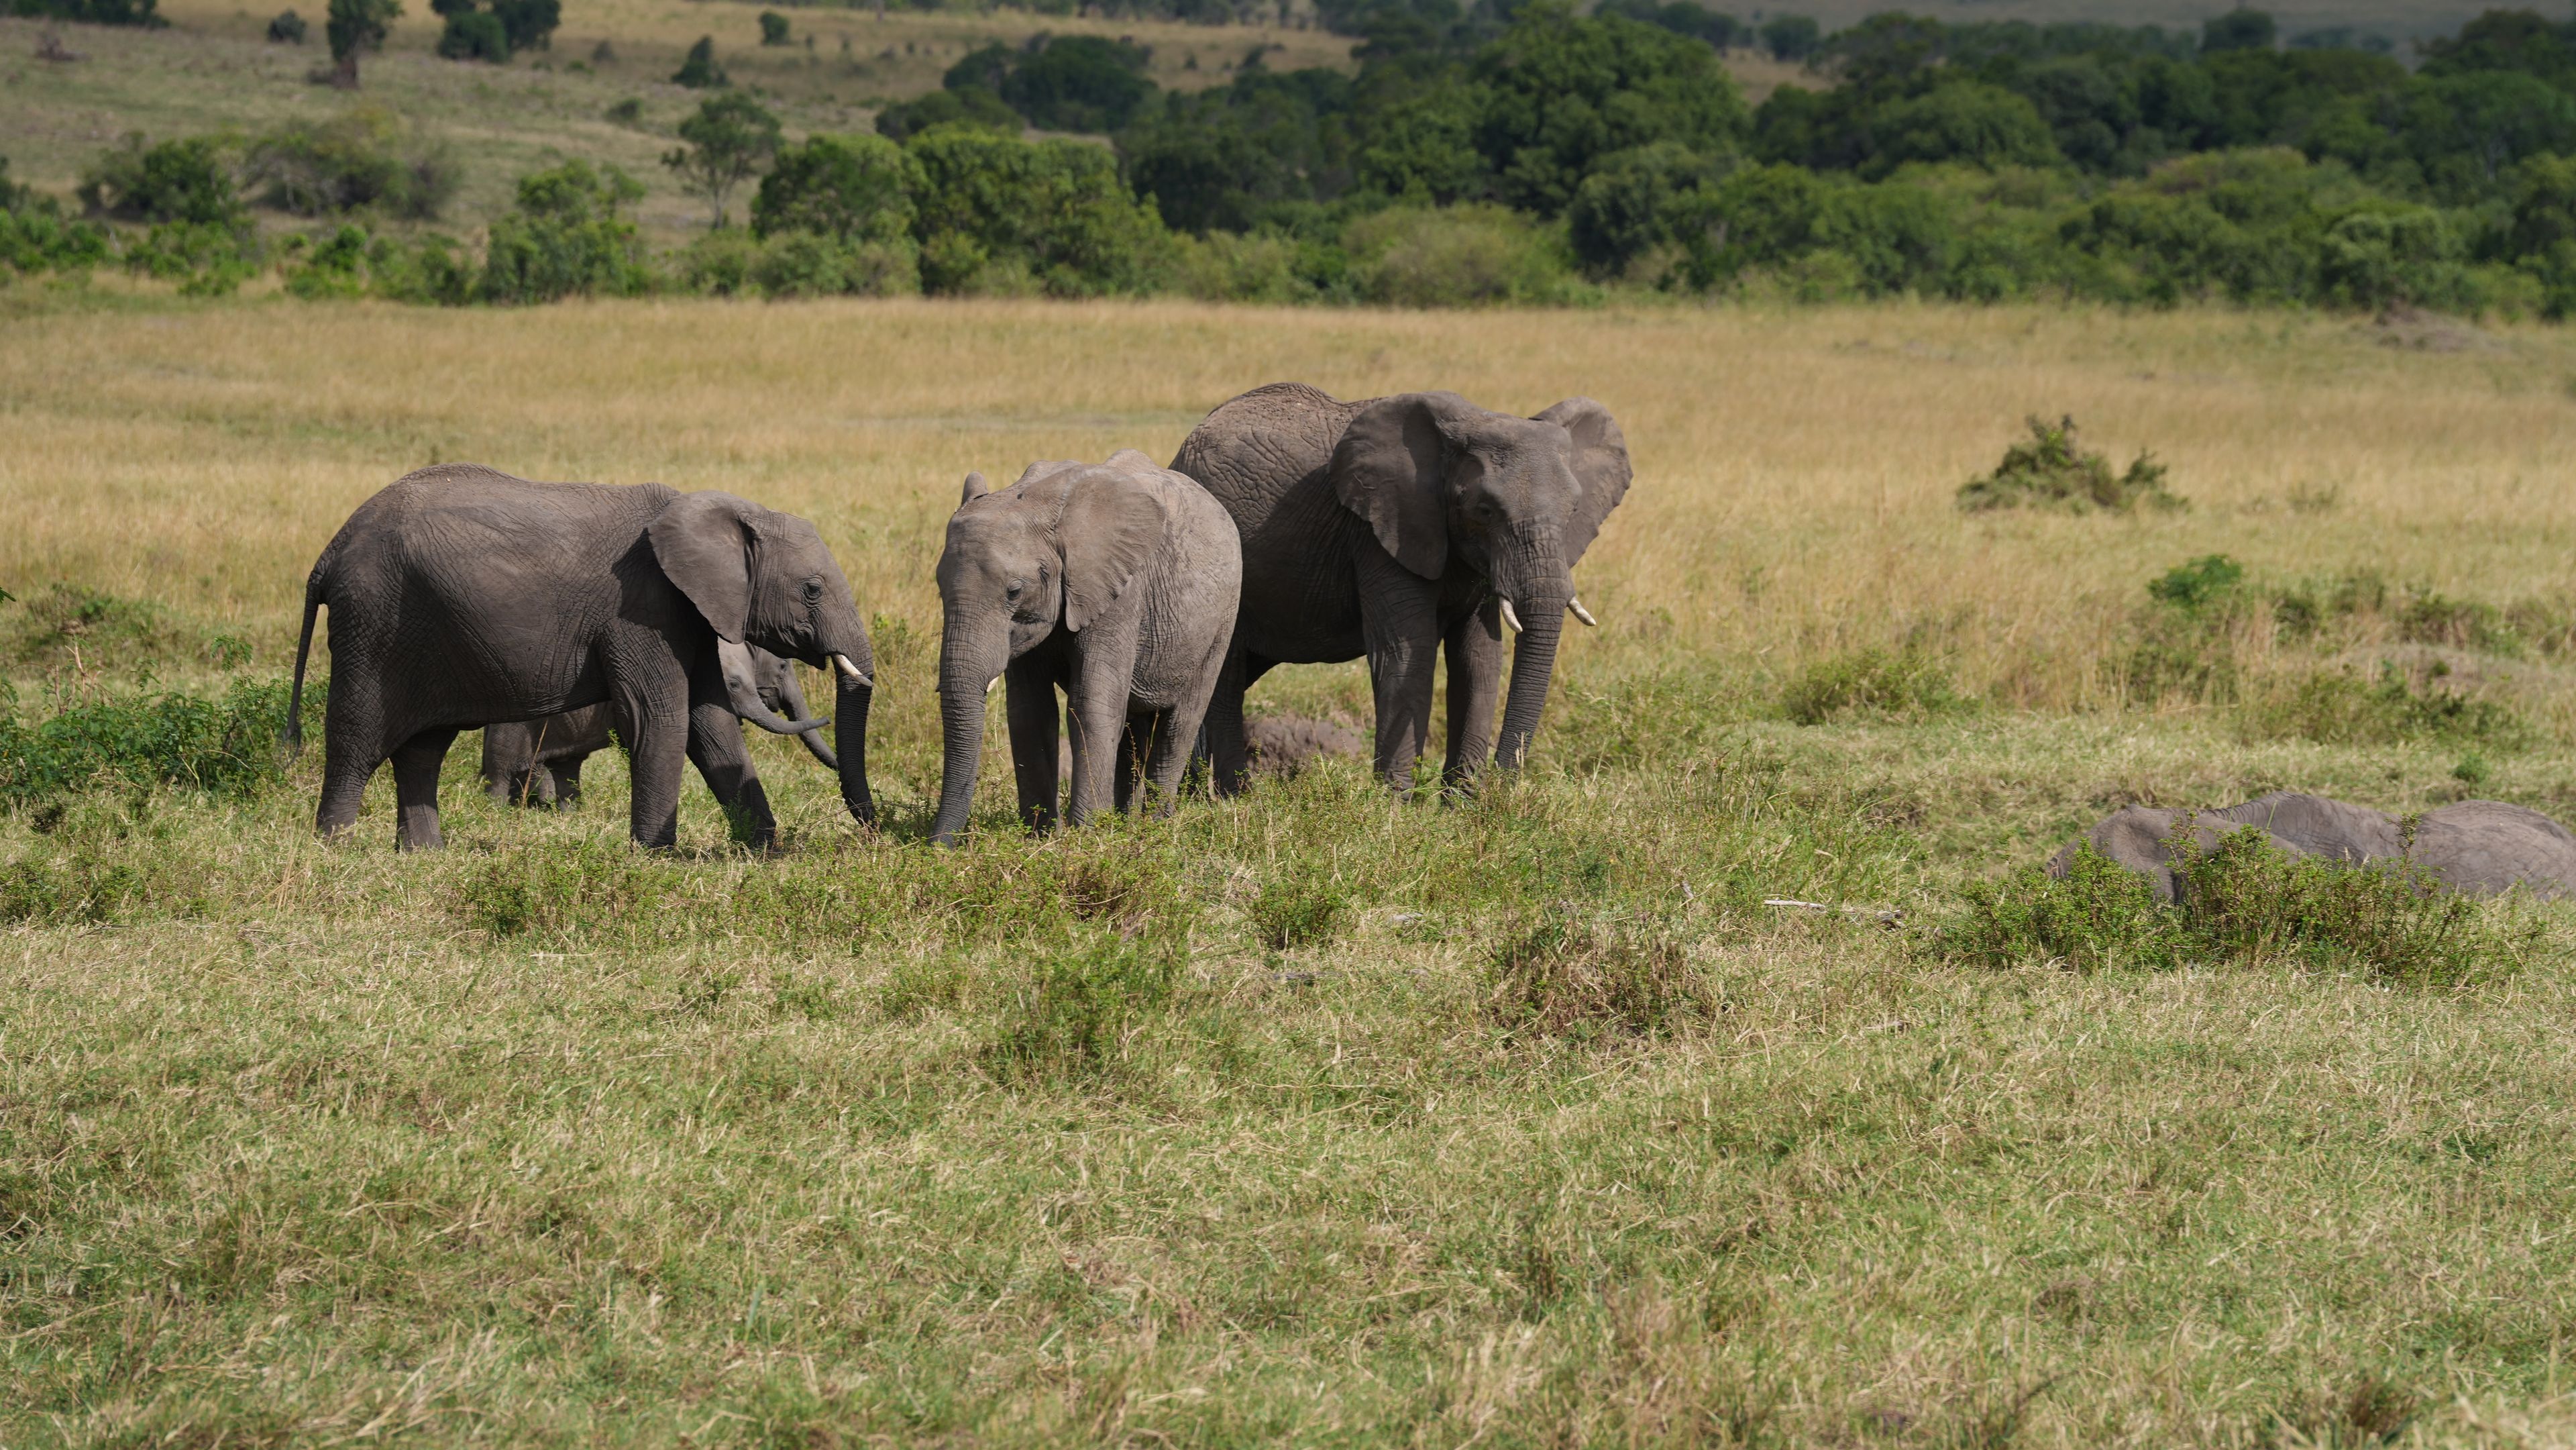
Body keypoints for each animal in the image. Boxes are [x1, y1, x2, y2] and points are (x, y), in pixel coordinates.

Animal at [482, 640, 837, 808]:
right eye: (783, 666)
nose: (829, 718)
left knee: (562, 766)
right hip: (511, 727)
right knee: (503, 770)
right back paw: (498, 811)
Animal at [929, 450, 1241, 846]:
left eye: (1014, 591)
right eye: (939, 587)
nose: (938, 849)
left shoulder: (1121, 594)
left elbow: (1091, 705)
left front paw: (1085, 838)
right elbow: (1030, 712)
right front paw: (1040, 838)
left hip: (1224, 617)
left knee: (1180, 723)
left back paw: (1154, 827)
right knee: (1131, 728)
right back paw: (1123, 823)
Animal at [1169, 383, 1632, 795]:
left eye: (1574, 509)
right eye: (1484, 510)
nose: (1502, 790)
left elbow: (1478, 659)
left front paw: (1461, 810)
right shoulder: (1379, 533)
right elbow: (1410, 653)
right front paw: (1396, 808)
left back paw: (1193, 795)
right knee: (1224, 680)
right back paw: (1234, 798)